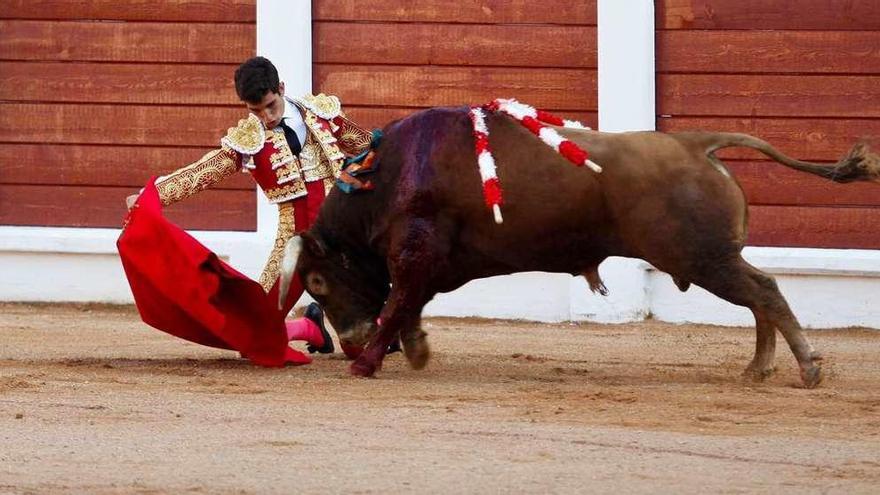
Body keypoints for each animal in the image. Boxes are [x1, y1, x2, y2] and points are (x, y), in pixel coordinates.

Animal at [278, 106, 876, 390]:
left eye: (317, 281)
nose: (349, 344)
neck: (391, 175)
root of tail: (695, 143)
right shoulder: (427, 259)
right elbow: (410, 304)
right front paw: (415, 349)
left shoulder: (414, 253)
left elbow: (400, 302)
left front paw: (368, 364)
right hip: (712, 257)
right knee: (758, 297)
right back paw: (758, 369)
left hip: (702, 257)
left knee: (764, 290)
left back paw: (806, 368)